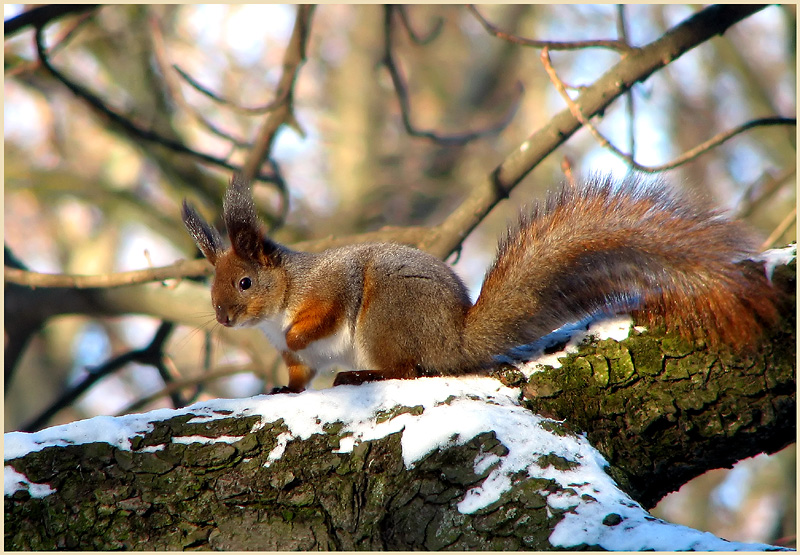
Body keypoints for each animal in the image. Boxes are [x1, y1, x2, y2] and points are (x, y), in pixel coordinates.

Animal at [181, 173, 776, 390]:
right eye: (214, 285)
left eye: (245, 283)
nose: (222, 318)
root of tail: (454, 338)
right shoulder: (298, 360)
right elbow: (298, 374)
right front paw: (283, 388)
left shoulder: (332, 285)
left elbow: (324, 312)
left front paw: (299, 332)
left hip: (384, 316)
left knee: (408, 369)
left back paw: (362, 375)